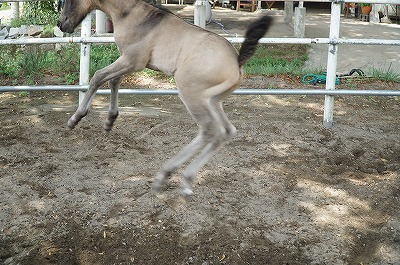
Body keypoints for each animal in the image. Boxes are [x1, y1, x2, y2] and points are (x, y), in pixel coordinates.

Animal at [57, 0, 274, 194]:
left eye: (69, 0)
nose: (61, 24)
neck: (132, 14)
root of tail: (237, 61)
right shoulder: (129, 62)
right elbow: (113, 81)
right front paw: (110, 121)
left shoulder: (132, 60)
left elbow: (97, 77)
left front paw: (75, 119)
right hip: (214, 101)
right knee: (226, 131)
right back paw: (185, 179)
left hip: (190, 93)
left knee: (210, 131)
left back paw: (167, 174)